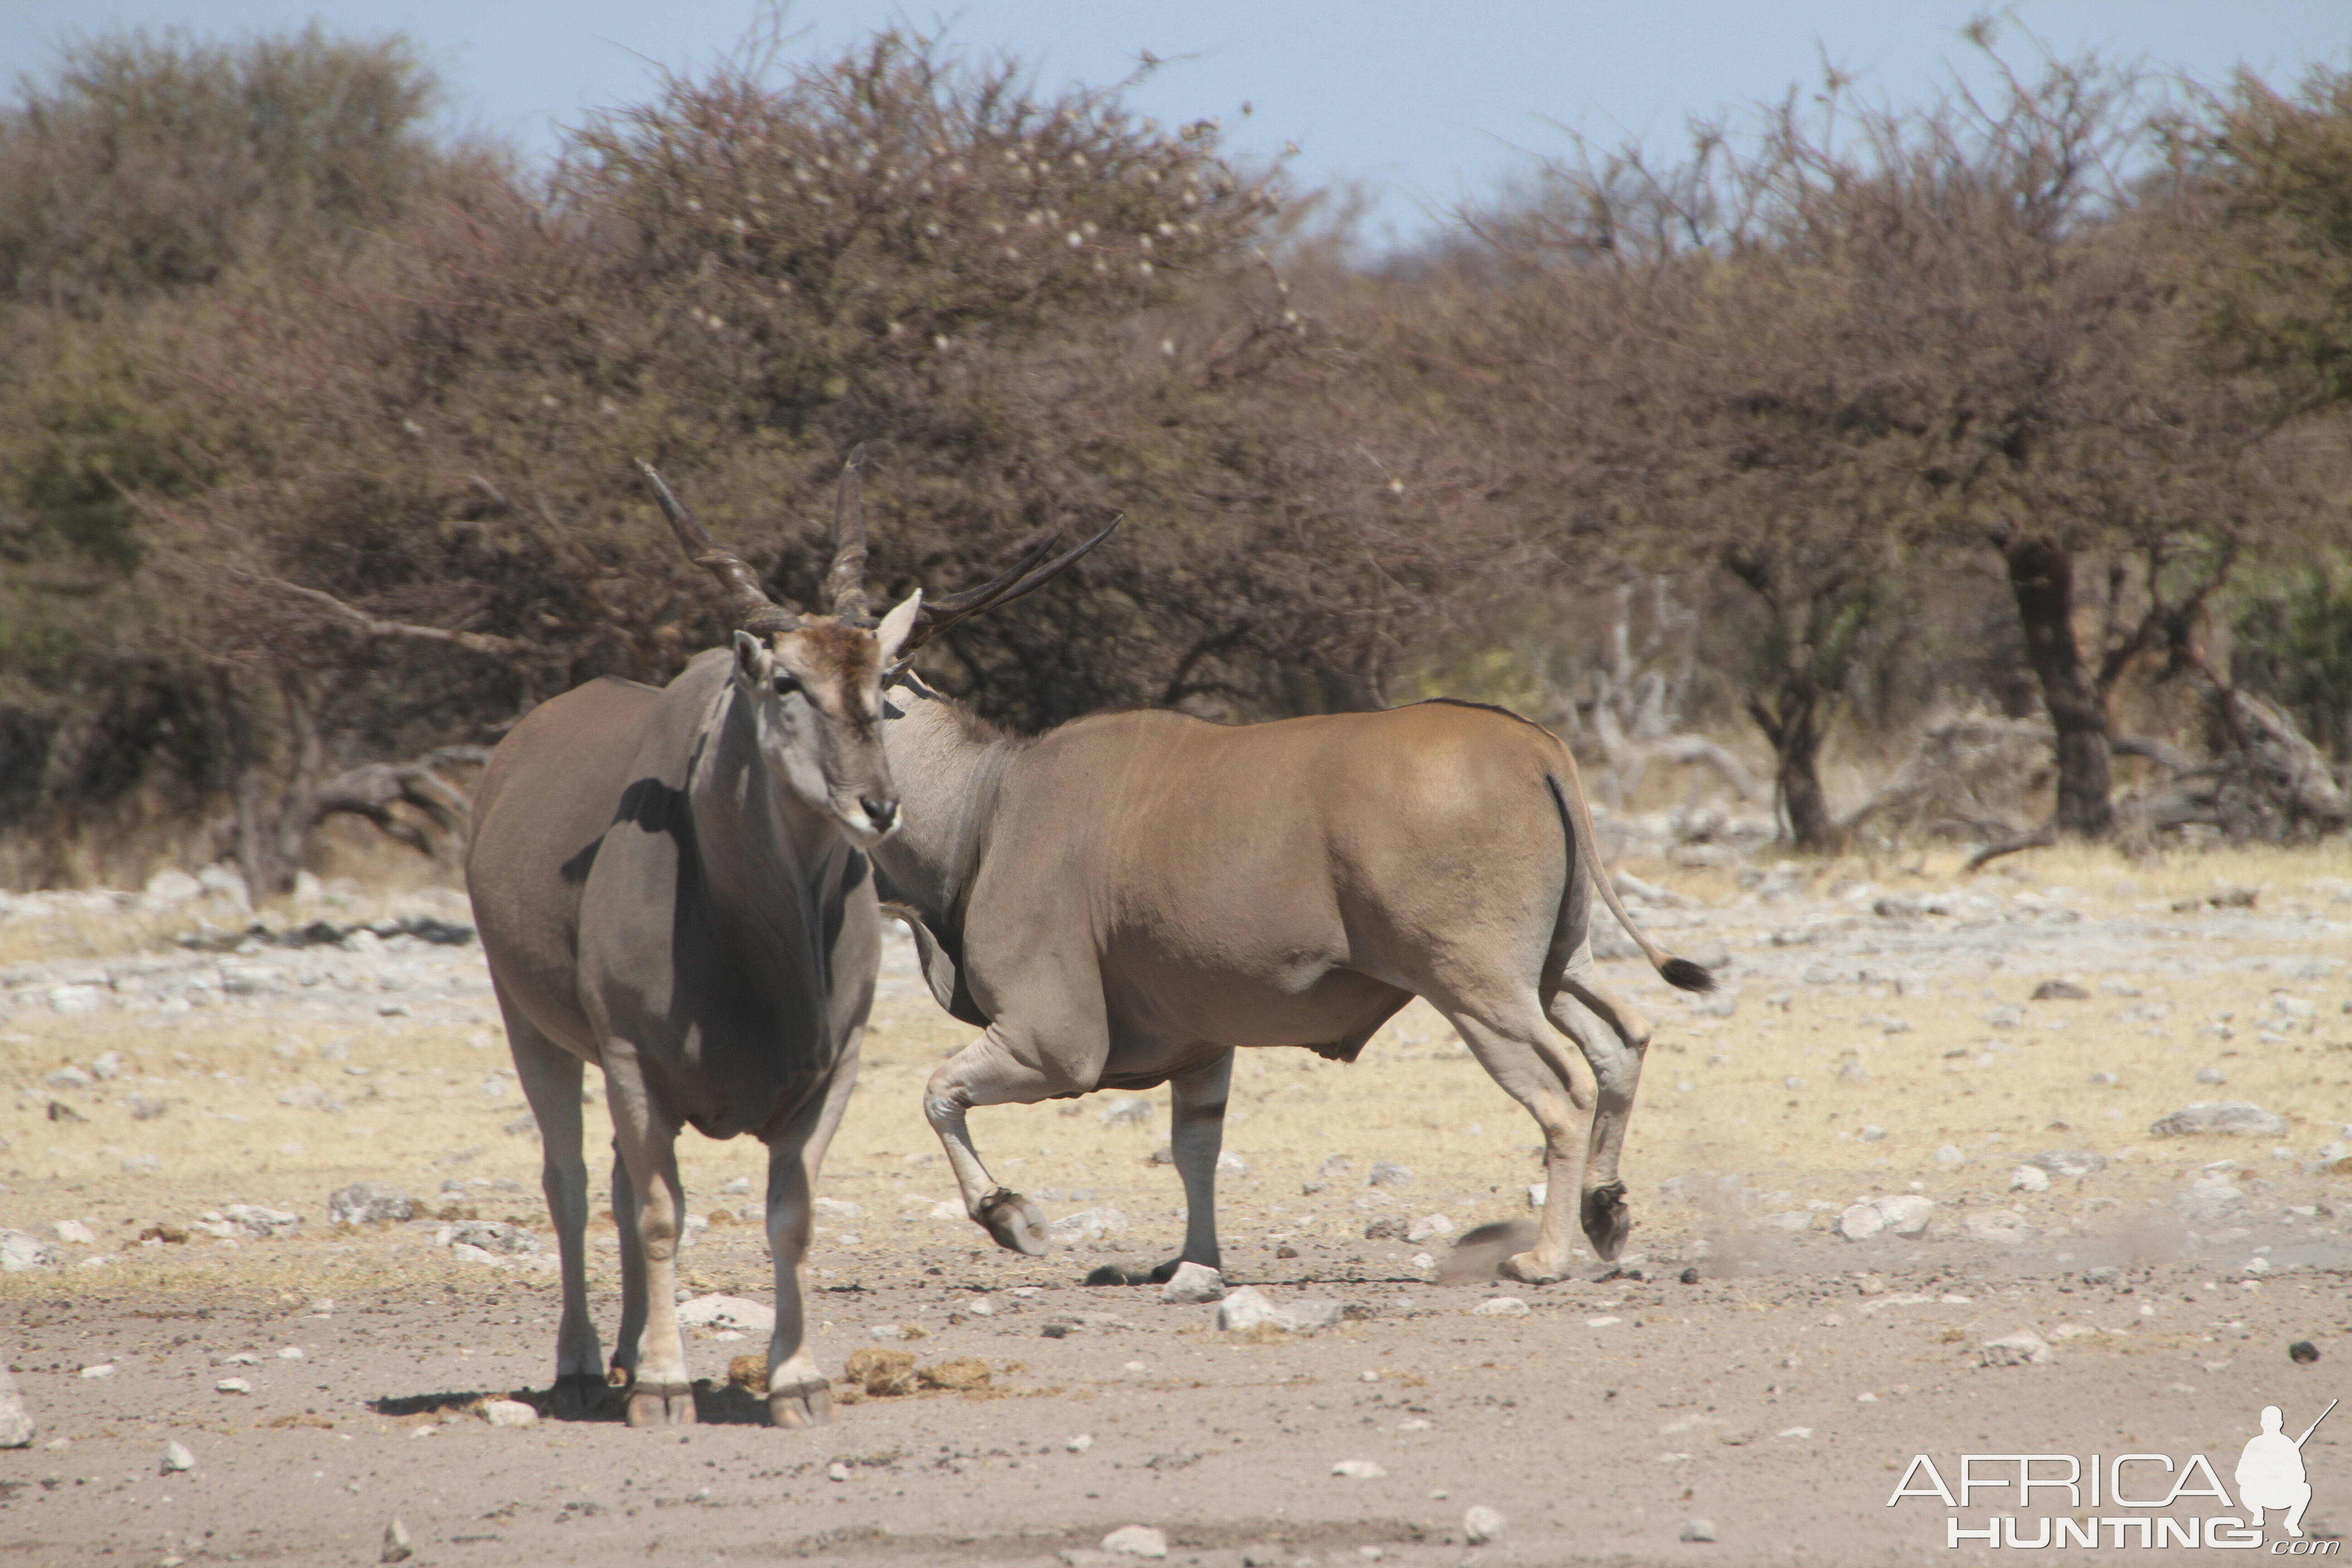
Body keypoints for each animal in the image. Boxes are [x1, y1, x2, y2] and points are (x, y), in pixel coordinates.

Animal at [472, 454, 1105, 1420]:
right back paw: (585, 1363)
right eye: (784, 683)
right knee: (573, 1183)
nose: (876, 806)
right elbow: (659, 1212)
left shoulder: (827, 1075)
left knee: (611, 1179)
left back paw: (624, 1349)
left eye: (880, 684)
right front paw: (665, 1384)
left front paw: (795, 1381)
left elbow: (791, 1213)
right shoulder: (633, 1061)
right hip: (532, 1026)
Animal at [875, 691, 1721, 1288]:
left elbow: (937, 1093)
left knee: (1561, 1091)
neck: (988, 798)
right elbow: (1196, 1151)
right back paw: (1604, 1212)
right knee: (1623, 1041)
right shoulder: (1200, 1050)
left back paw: (1543, 1258)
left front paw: (1008, 1216)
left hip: (1479, 993)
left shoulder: (1051, 1048)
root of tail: (1537, 747)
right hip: (1556, 973)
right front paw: (1194, 1265)